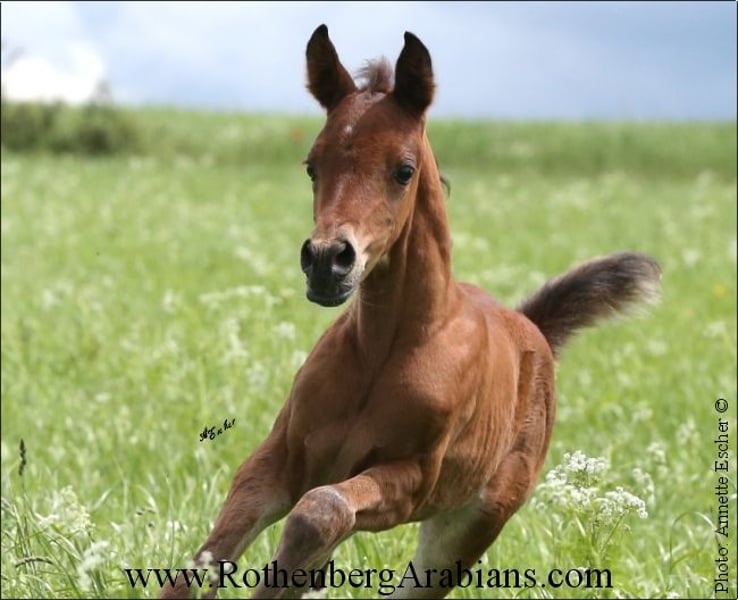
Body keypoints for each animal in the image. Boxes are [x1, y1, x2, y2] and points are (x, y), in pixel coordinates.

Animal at [160, 25, 660, 599]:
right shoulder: (279, 458)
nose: (327, 261)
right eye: (312, 165)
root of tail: (532, 326)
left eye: (404, 170)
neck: (383, 352)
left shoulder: (413, 481)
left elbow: (320, 510)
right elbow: (204, 562)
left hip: (467, 528)